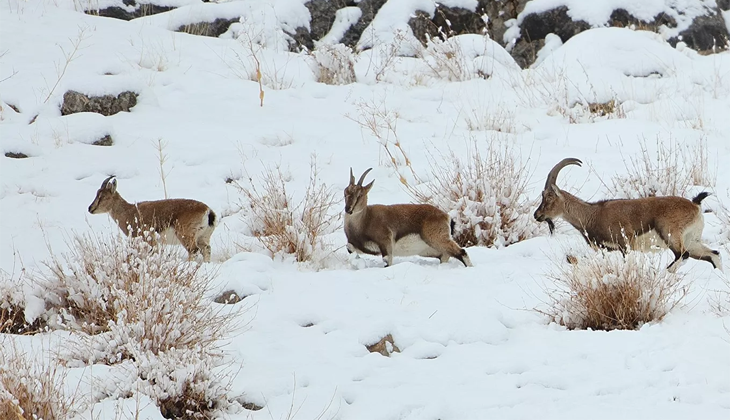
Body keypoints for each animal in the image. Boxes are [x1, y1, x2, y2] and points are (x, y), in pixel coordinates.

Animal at [86, 175, 215, 260]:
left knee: (194, 251)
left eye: (103, 197)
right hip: (203, 237)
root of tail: (208, 211)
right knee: (207, 249)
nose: (90, 208)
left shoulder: (148, 240)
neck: (129, 212)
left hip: (185, 235)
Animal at [342, 167, 472, 268]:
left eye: (360, 194)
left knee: (461, 252)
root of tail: (446, 216)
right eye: (345, 193)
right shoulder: (355, 246)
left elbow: (387, 261)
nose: (348, 209)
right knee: (445, 255)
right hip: (430, 249)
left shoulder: (386, 243)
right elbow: (350, 248)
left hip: (437, 239)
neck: (364, 220)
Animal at [532, 158, 720, 272]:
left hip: (670, 235)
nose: (537, 215)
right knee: (714, 255)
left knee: (683, 255)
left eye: (548, 197)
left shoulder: (625, 244)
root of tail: (695, 205)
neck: (592, 214)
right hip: (692, 241)